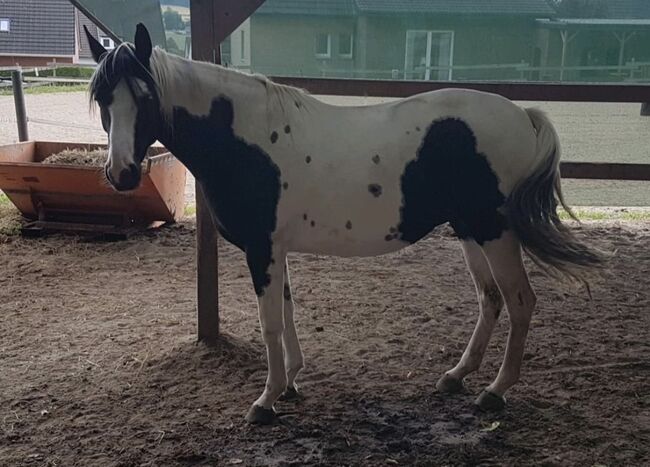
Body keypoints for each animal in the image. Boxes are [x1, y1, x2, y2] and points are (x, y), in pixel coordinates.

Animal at [84, 24, 604, 424]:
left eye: (145, 96)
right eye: (103, 99)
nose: (122, 174)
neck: (245, 141)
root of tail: (524, 115)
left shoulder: (262, 249)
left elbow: (269, 324)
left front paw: (266, 402)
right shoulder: (276, 250)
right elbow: (287, 314)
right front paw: (290, 384)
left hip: (495, 233)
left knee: (520, 302)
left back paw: (494, 392)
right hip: (470, 231)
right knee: (490, 299)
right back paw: (456, 377)